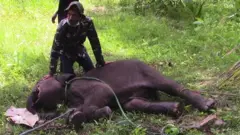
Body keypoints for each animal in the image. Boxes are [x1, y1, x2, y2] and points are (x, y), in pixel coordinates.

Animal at [26, 59, 216, 131]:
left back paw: (207, 104)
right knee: (138, 104)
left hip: (148, 72)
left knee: (173, 87)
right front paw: (76, 116)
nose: (35, 92)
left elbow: (100, 93)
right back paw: (175, 109)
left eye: (41, 81)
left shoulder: (88, 86)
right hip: (134, 100)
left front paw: (76, 117)